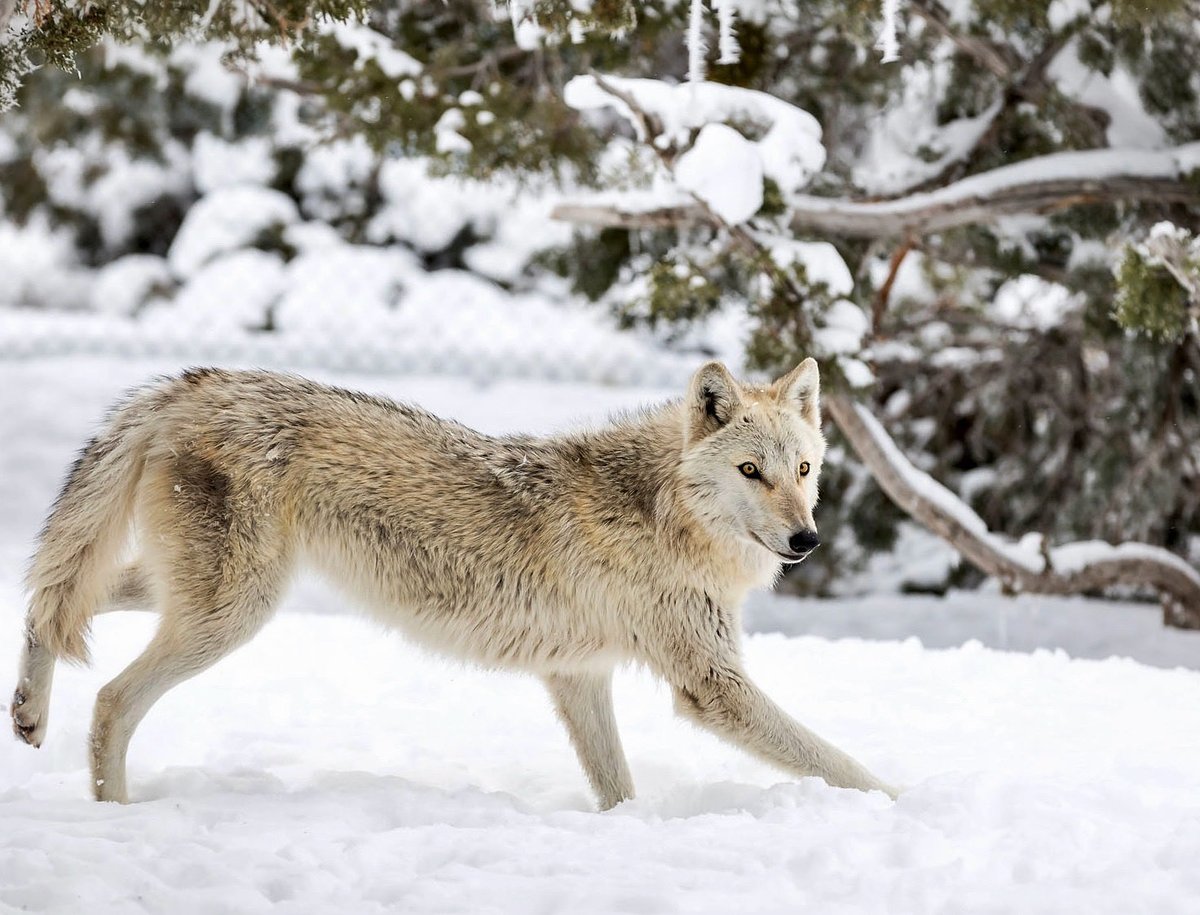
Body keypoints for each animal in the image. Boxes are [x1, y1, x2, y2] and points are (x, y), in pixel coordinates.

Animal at [10, 359, 894, 806]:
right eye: (750, 471)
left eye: (803, 470)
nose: (806, 539)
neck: (661, 509)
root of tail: (191, 383)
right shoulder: (711, 685)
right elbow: (837, 759)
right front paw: (900, 801)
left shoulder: (578, 676)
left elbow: (619, 789)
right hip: (231, 612)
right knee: (109, 695)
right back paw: (115, 813)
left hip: (200, 596)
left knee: (48, 600)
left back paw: (27, 712)